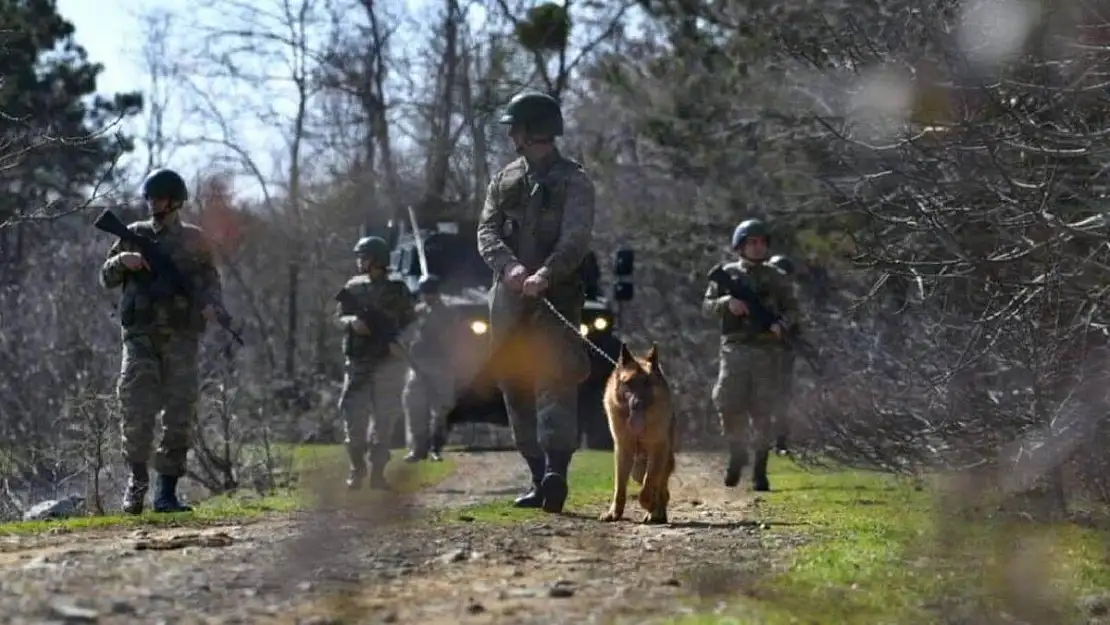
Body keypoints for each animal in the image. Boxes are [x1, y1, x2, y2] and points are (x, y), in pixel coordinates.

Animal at [599, 344, 674, 526]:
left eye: (647, 383)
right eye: (629, 383)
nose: (637, 404)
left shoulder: (658, 450)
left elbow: (648, 485)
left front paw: (650, 504)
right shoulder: (623, 451)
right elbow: (619, 487)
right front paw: (614, 513)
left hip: (664, 460)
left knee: (661, 488)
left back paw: (656, 512)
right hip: (637, 470)